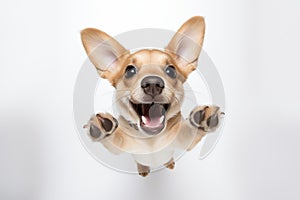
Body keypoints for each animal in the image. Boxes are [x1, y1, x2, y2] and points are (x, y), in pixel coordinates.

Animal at [81, 16, 224, 177]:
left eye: (171, 71)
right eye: (129, 71)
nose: (153, 83)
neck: (152, 140)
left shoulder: (183, 141)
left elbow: (189, 132)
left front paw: (202, 119)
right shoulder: (121, 147)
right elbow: (115, 140)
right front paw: (104, 127)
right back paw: (143, 168)